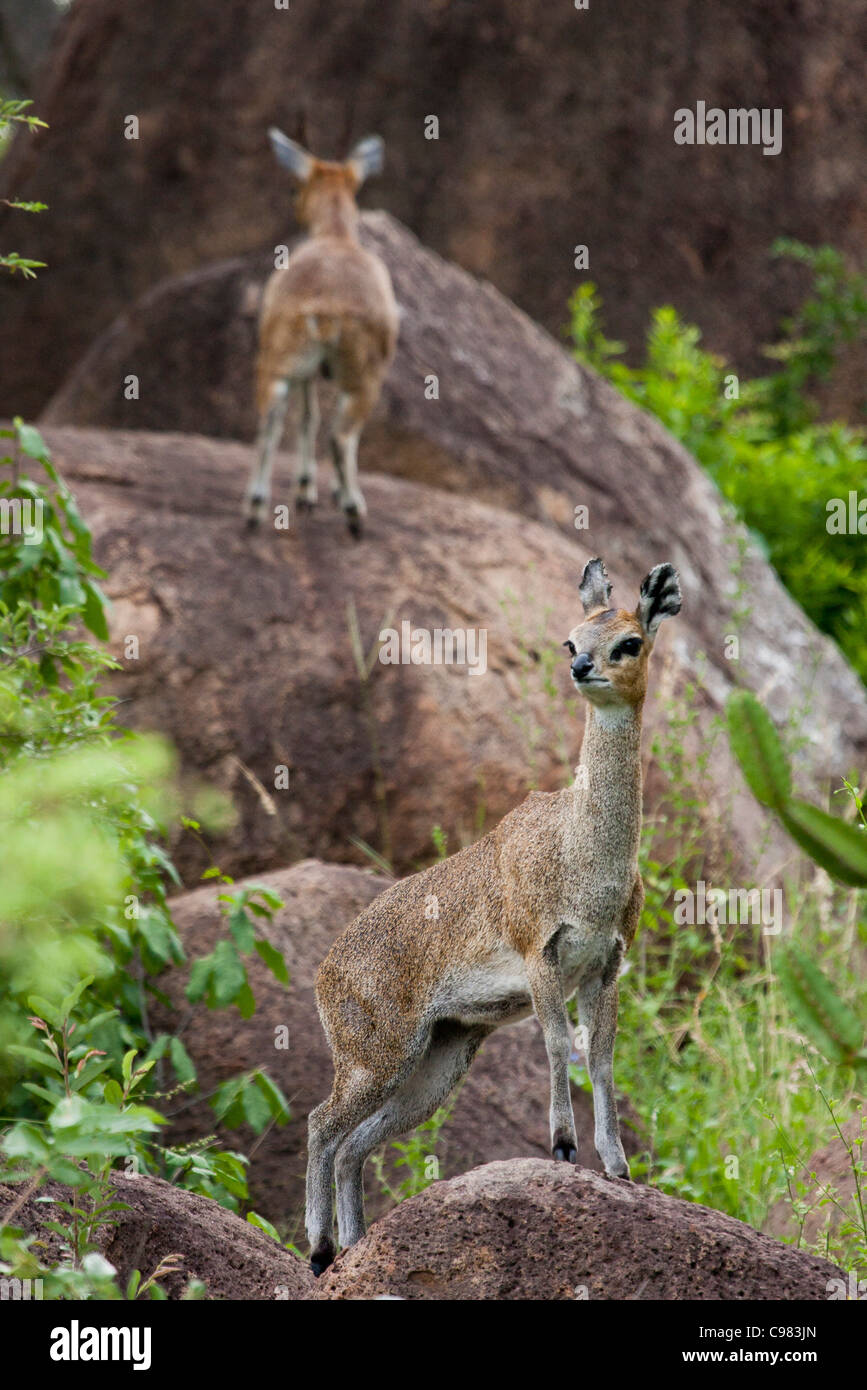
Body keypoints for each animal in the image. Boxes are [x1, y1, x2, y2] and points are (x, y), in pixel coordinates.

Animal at [244, 129, 400, 536]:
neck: (336, 237)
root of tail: (327, 308)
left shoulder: (308, 371)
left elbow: (306, 416)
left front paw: (305, 491)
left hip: (278, 360)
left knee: (270, 421)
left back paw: (255, 507)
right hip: (365, 377)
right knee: (341, 435)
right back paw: (354, 512)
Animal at [307, 556, 683, 1273]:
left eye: (629, 641)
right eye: (570, 639)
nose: (581, 668)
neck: (583, 852)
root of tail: (323, 971)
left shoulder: (606, 965)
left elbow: (601, 1057)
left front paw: (618, 1167)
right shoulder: (542, 956)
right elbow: (559, 1043)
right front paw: (562, 1146)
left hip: (440, 1058)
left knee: (353, 1142)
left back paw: (354, 1247)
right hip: (376, 1055)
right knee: (321, 1125)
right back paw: (317, 1251)